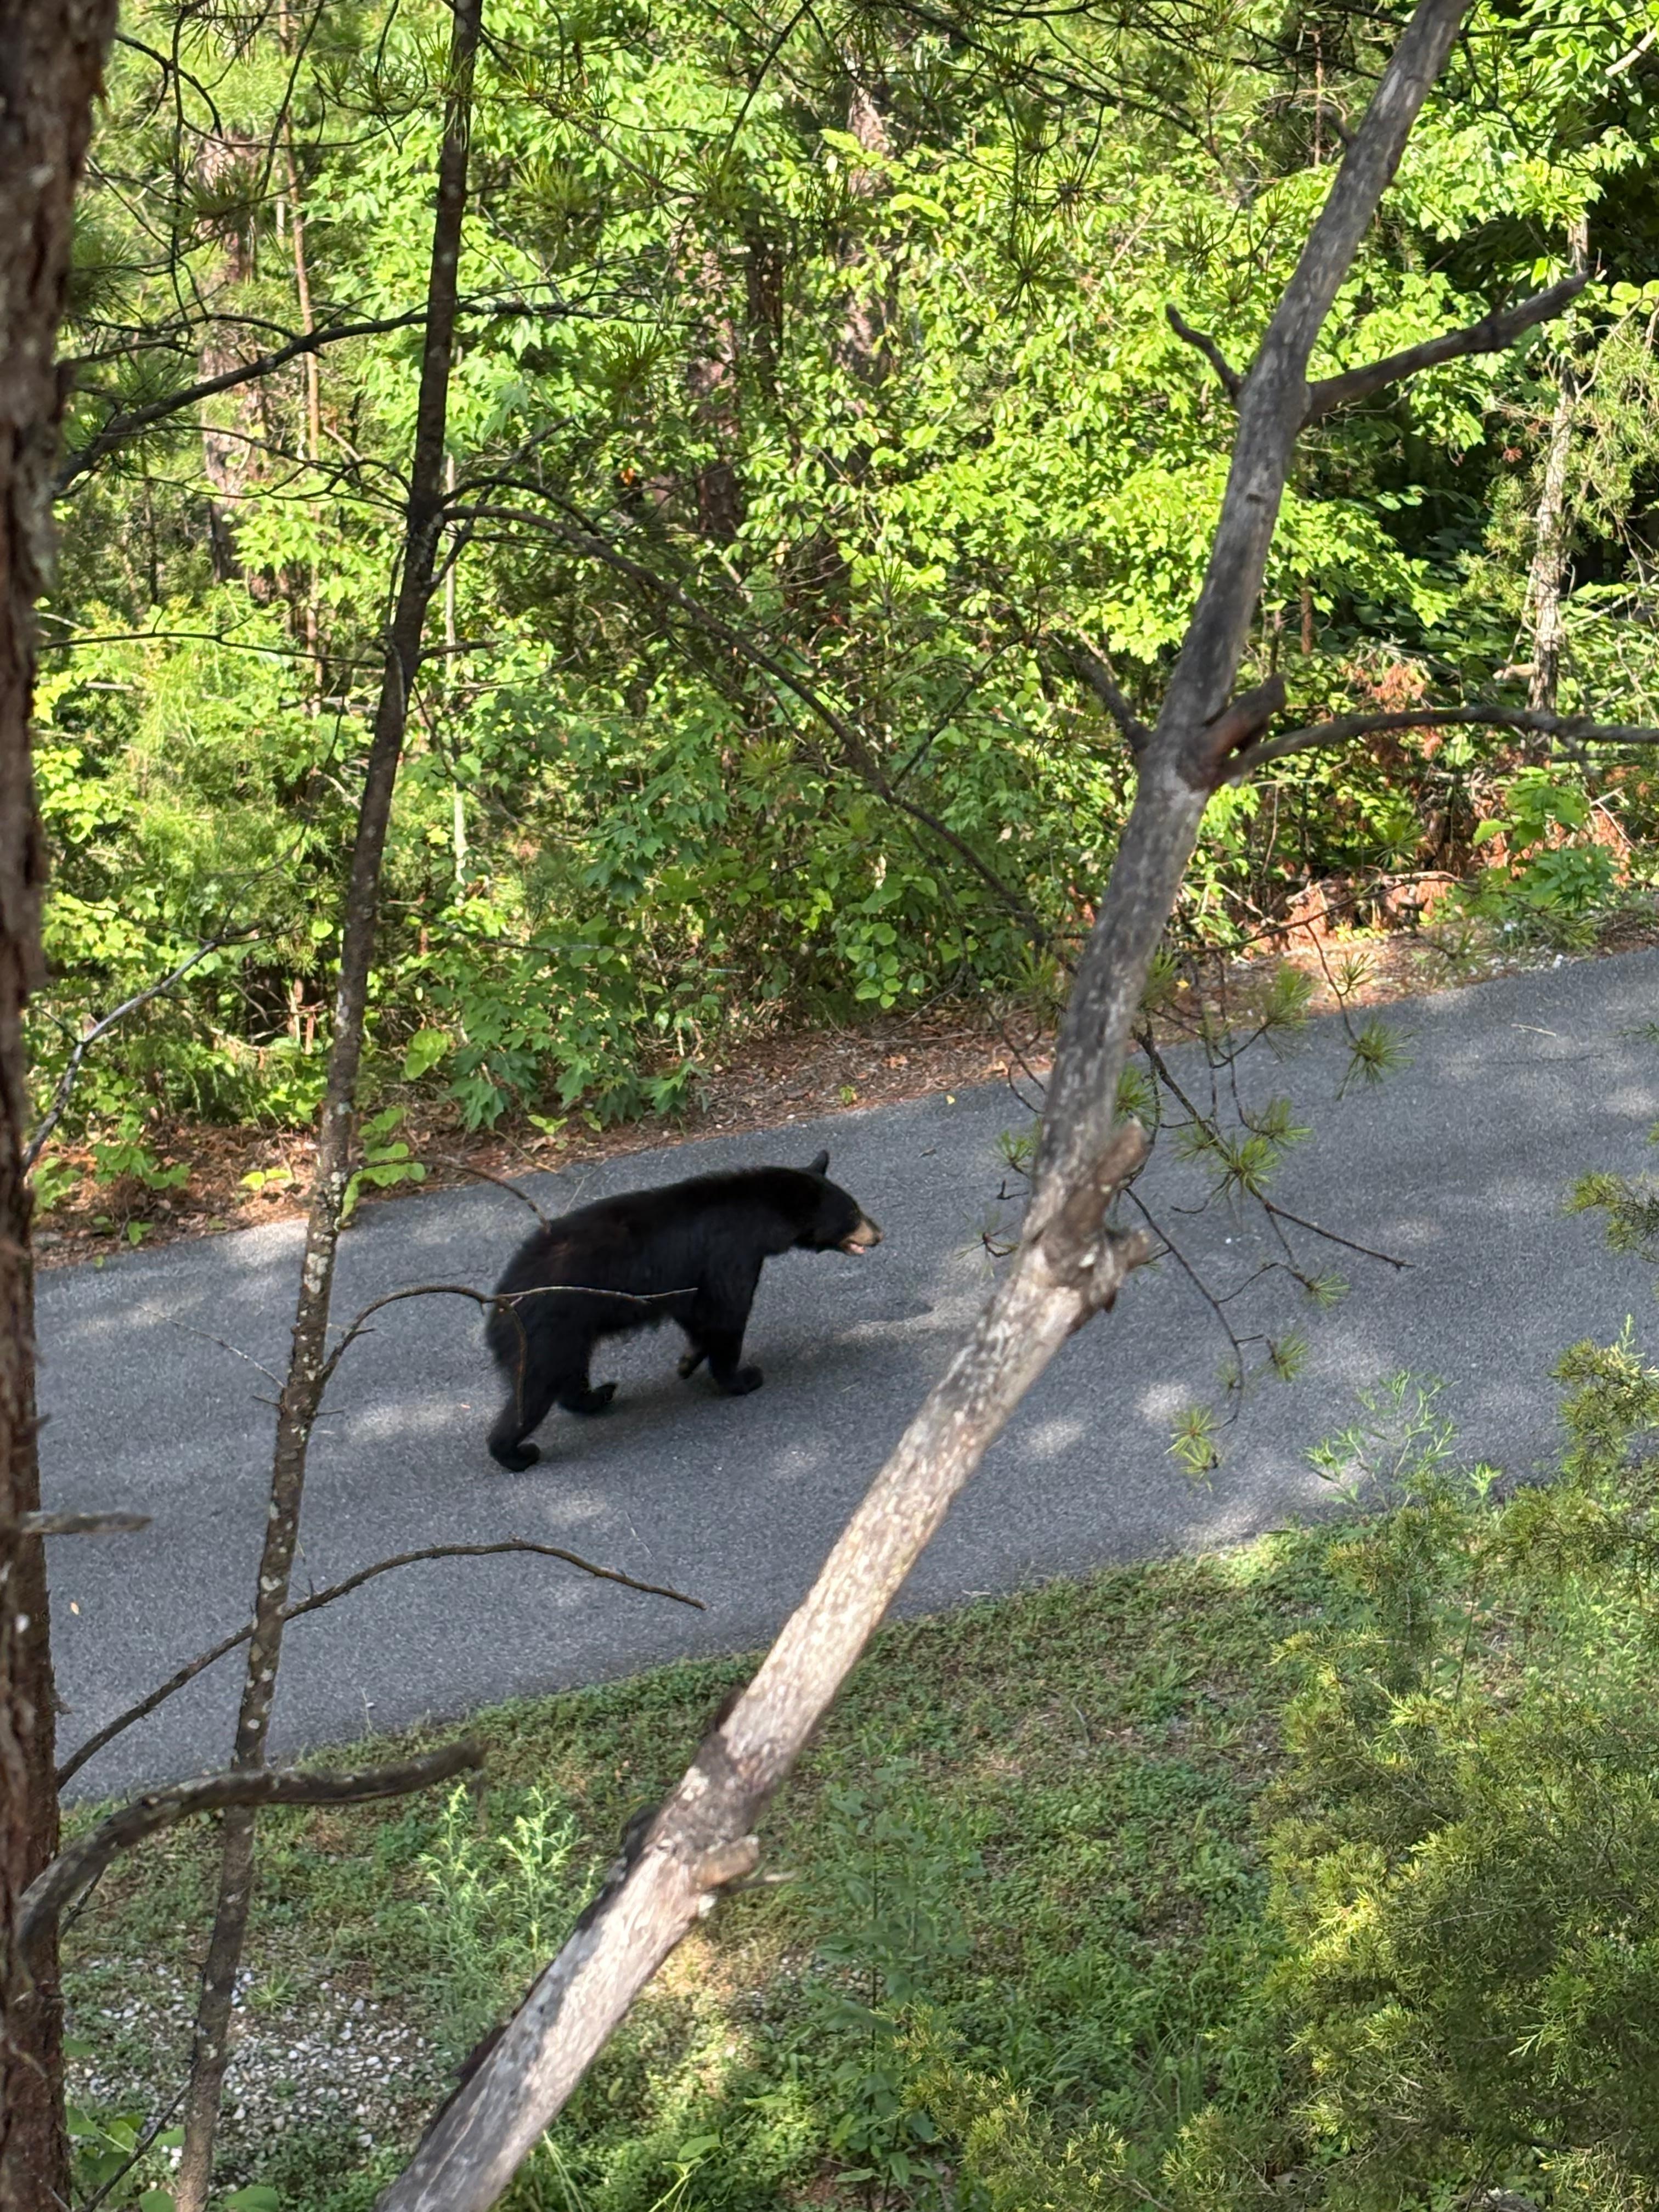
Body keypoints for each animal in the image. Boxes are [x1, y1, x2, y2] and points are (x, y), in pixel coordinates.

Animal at [483, 1149, 882, 1470]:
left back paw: (598, 1395)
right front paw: (742, 1378)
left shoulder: (689, 1280)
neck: (758, 1214)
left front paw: (689, 1360)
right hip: (546, 1331)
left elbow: (697, 1315)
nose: (879, 1234)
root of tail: (499, 1306)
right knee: (534, 1387)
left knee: (568, 1374)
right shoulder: (730, 1254)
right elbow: (728, 1314)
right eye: (853, 1212)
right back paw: (516, 1453)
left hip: (569, 1332)